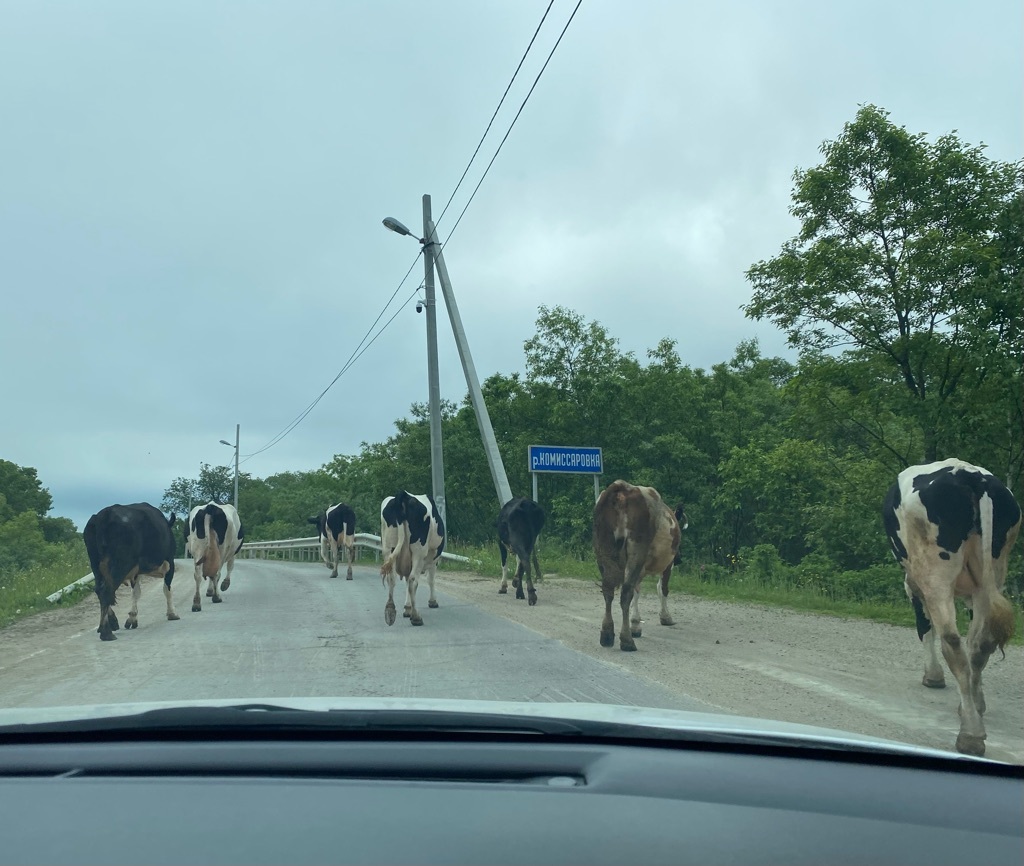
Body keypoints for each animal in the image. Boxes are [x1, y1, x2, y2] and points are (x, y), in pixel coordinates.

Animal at [83, 505, 182, 642]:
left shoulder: (136, 571)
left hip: (96, 564)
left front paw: (132, 618)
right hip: (121, 563)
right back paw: (106, 632)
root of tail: (104, 515)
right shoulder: (169, 563)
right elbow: (167, 590)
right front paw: (172, 613)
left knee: (99, 589)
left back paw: (111, 623)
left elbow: (136, 593)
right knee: (106, 591)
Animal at [380, 491, 444, 626]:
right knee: (412, 581)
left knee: (391, 578)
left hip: (388, 548)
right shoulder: (434, 560)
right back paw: (416, 617)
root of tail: (403, 495)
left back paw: (390, 610)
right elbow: (431, 579)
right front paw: (432, 601)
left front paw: (407, 608)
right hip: (418, 552)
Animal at [593, 481, 679, 651]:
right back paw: (626, 640)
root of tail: (621, 488)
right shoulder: (668, 564)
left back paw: (607, 634)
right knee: (626, 592)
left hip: (603, 550)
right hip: (636, 548)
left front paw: (636, 624)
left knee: (608, 591)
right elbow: (662, 589)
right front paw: (665, 617)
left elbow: (638, 591)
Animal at [884, 458, 1019, 757]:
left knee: (952, 642)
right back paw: (974, 710)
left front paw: (932, 676)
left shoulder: (913, 583)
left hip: (936, 574)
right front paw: (977, 698)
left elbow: (924, 628)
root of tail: (970, 475)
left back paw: (971, 733)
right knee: (981, 644)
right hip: (993, 572)